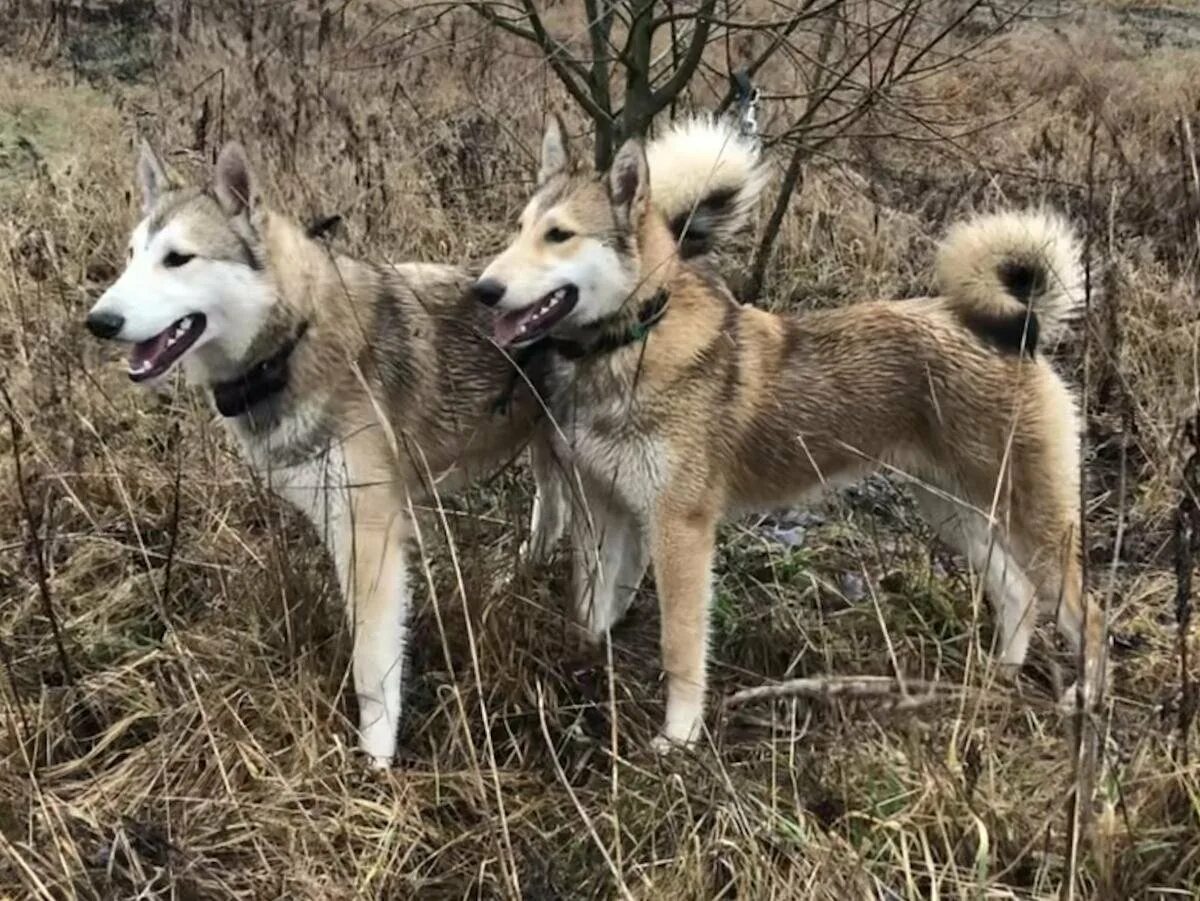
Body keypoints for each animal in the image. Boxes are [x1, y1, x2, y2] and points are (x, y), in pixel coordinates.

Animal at [475, 114, 1104, 748]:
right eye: (521, 229)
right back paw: (1001, 674)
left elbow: (680, 646)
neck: (632, 341)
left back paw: (1084, 696)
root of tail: (1019, 330)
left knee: (1088, 614)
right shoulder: (607, 513)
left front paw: (679, 736)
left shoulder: (680, 531)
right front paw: (587, 668)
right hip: (954, 511)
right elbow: (592, 610)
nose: (483, 290)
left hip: (1033, 524)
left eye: (560, 235)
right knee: (1017, 593)